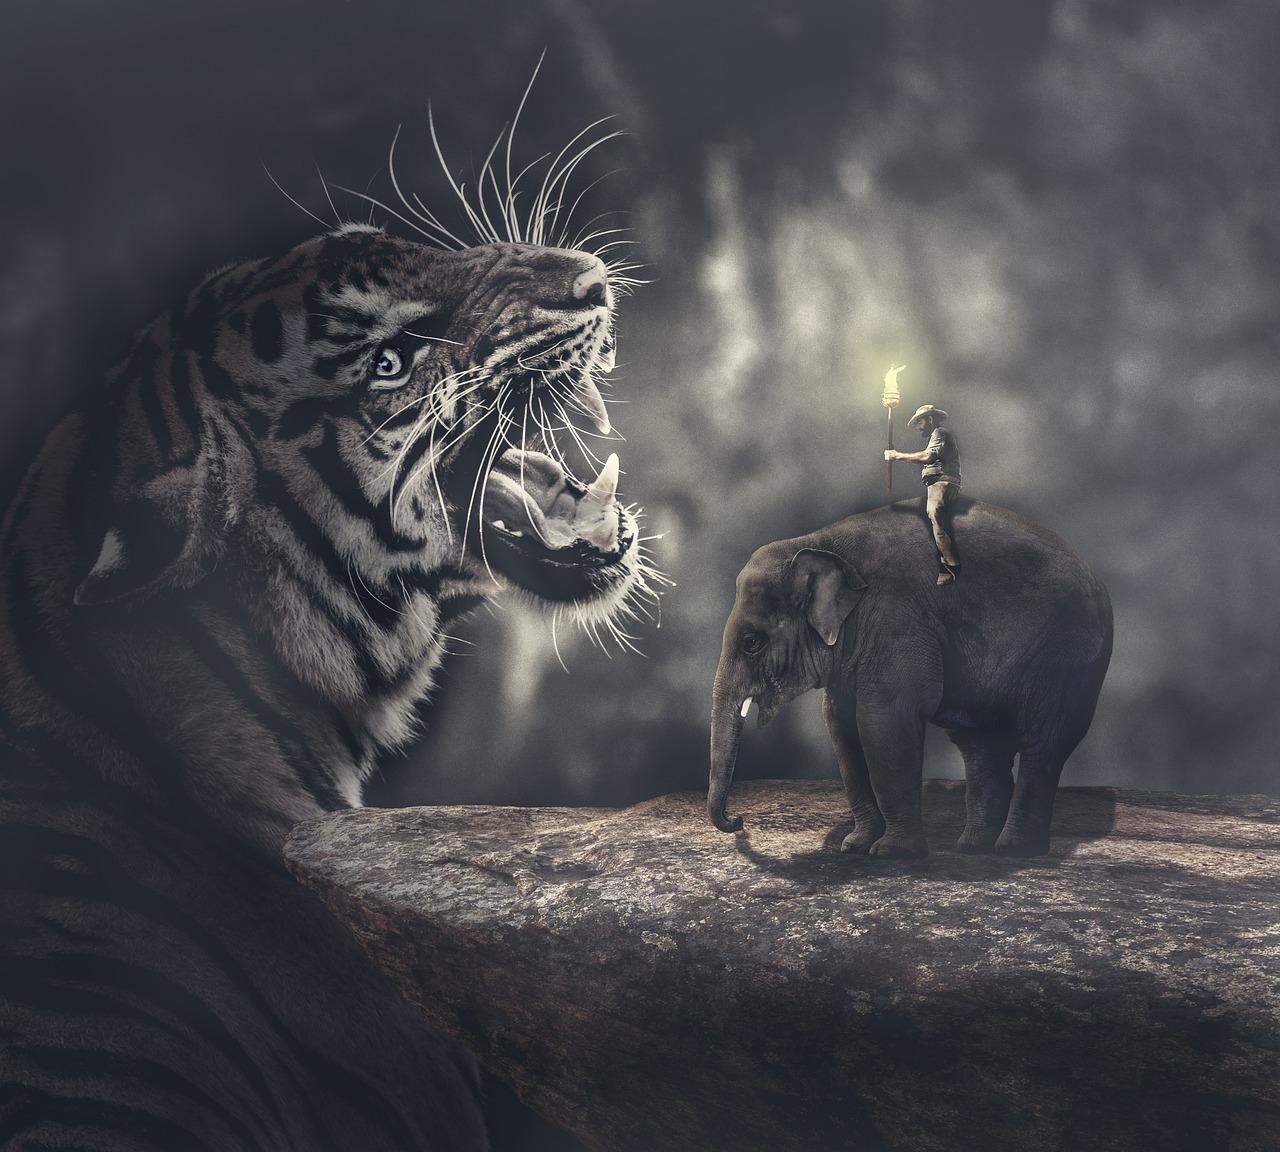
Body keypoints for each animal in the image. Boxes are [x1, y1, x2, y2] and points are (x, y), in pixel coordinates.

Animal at [708, 496, 1113, 857]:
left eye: (751, 643)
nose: (738, 820)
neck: (819, 542)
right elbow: (841, 725)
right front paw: (854, 847)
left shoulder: (898, 620)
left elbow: (883, 721)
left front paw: (891, 853)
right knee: (981, 748)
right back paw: (974, 848)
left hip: (1068, 659)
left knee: (1042, 745)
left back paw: (1015, 851)